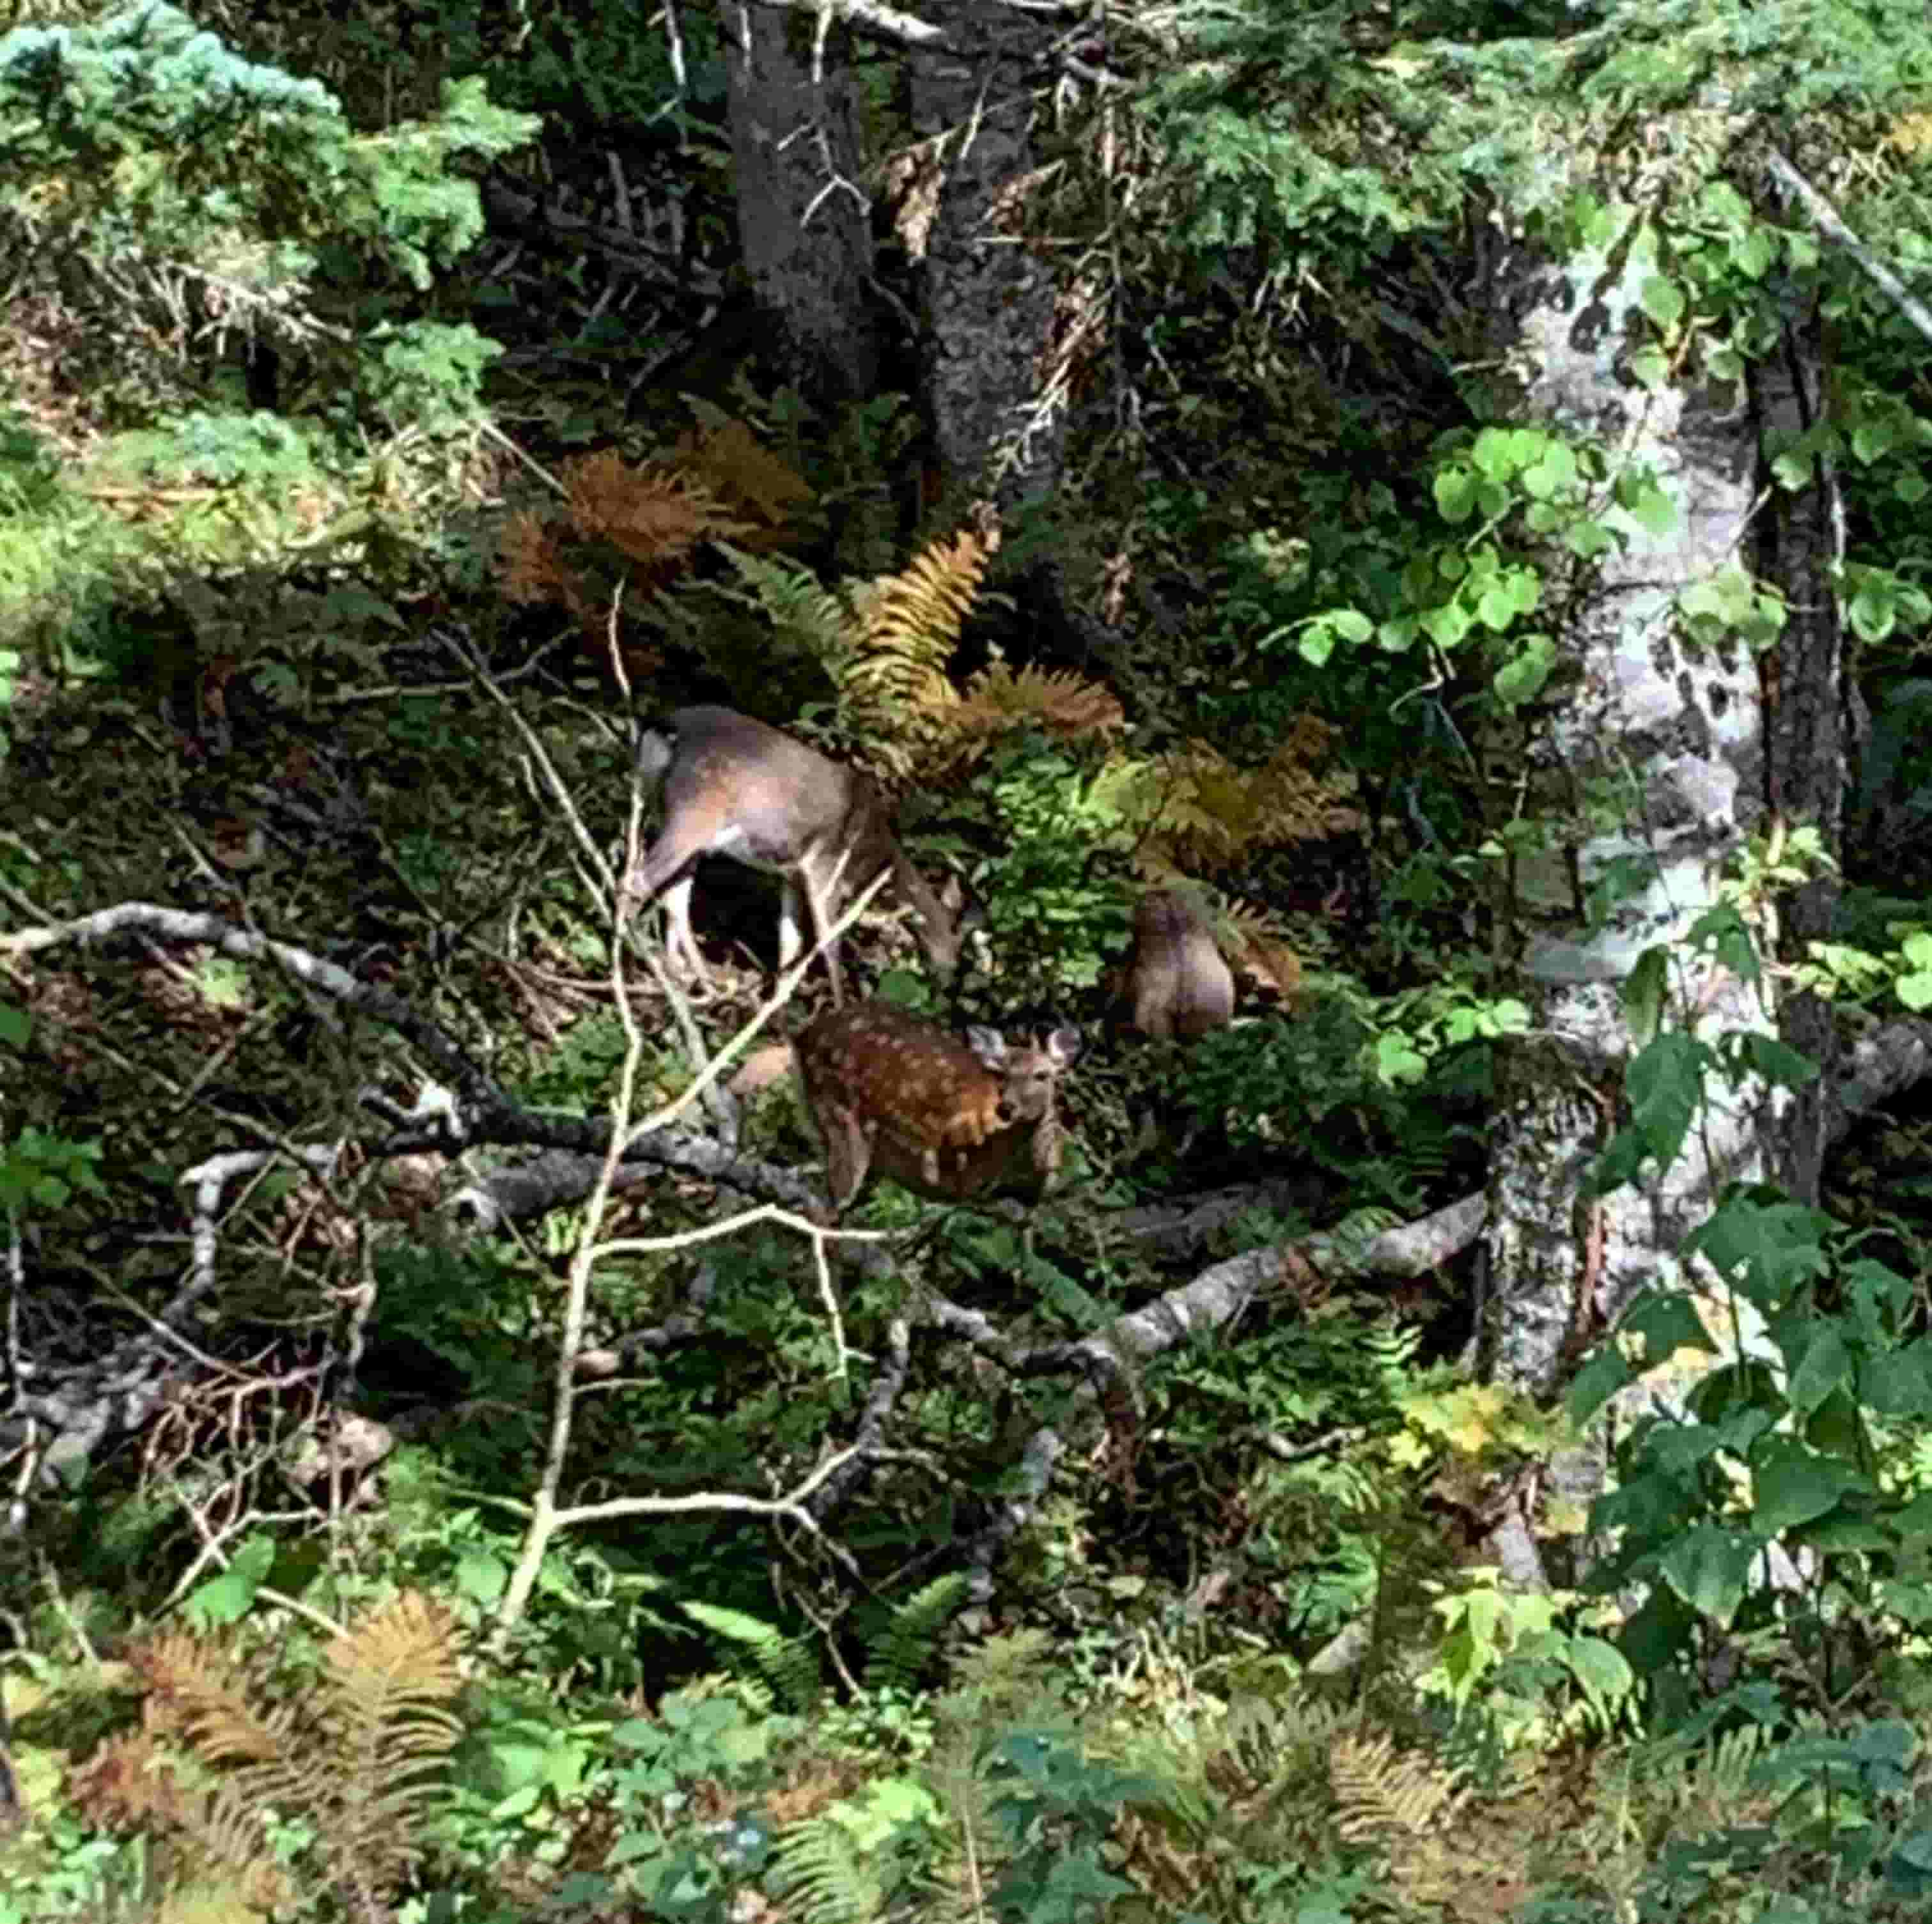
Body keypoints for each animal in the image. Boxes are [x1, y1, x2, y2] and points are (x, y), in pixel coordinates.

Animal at [626, 711, 974, 1004]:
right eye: (956, 938)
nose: (950, 982)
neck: (872, 857)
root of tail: (667, 728)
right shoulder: (826, 861)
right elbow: (829, 941)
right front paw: (840, 1008)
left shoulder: (791, 874)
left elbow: (790, 941)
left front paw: (780, 1002)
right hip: (697, 810)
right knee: (640, 880)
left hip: (666, 812)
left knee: (674, 897)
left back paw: (692, 979)